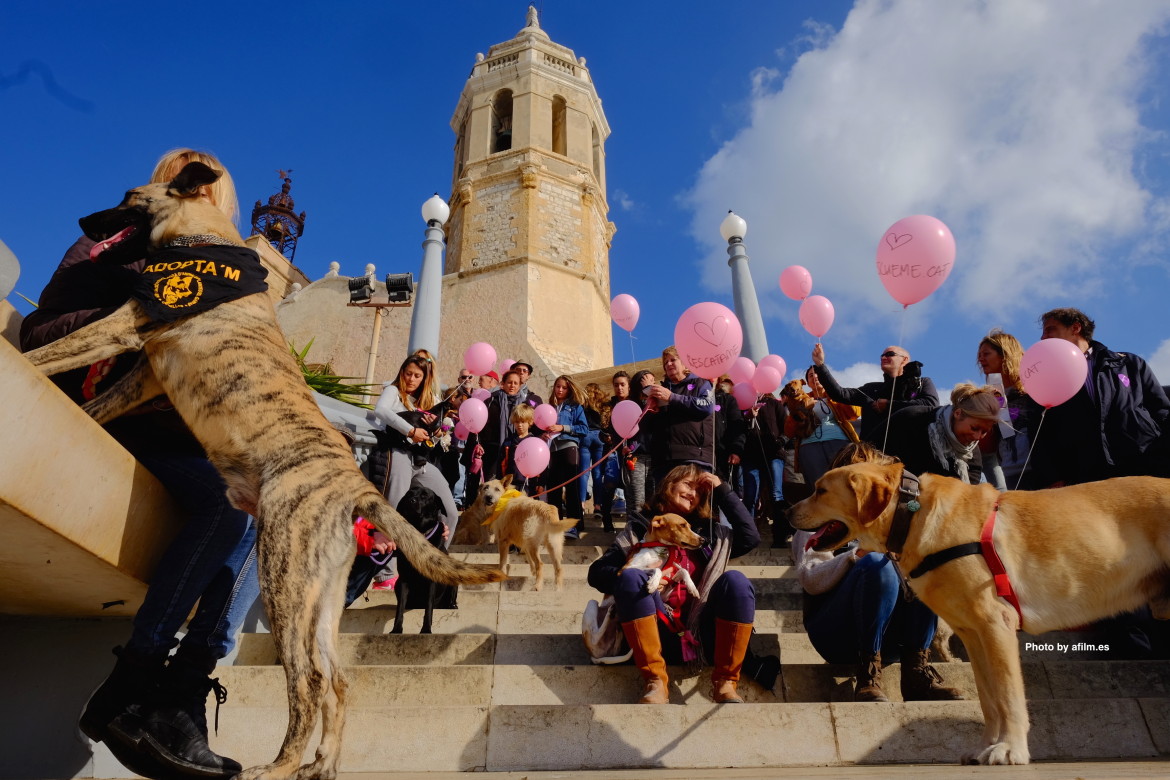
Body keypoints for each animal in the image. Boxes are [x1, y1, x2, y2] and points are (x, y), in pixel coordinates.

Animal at [388, 488, 451, 636]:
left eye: (425, 496)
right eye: (409, 494)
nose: (411, 501)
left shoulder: (432, 581)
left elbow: (428, 608)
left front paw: (426, 630)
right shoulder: (404, 579)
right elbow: (400, 608)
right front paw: (396, 629)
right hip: (397, 584)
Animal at [786, 463, 1170, 767]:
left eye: (820, 490)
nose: (787, 512)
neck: (911, 514)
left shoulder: (995, 624)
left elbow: (1009, 695)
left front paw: (1010, 749)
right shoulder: (973, 635)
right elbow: (989, 700)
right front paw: (988, 746)